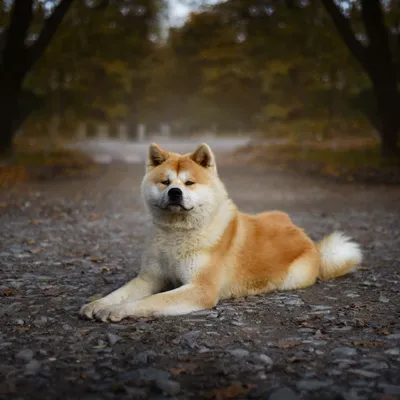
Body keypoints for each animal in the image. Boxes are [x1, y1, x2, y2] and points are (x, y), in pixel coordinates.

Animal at [79, 142, 362, 324]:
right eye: (165, 182)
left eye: (189, 183)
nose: (175, 192)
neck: (177, 233)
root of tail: (308, 239)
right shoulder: (150, 278)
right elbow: (120, 292)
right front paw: (98, 303)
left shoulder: (199, 289)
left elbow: (150, 302)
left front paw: (118, 310)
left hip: (293, 276)